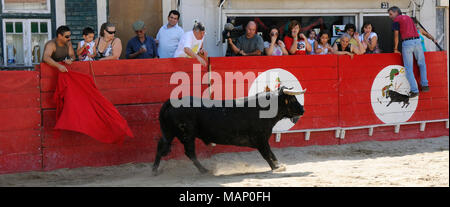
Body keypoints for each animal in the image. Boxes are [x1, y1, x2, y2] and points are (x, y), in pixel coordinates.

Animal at [152, 86, 306, 175]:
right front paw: (276, 168)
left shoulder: (263, 139)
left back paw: (154, 170)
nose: (303, 110)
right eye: (292, 99)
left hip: (169, 132)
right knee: (190, 152)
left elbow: (271, 153)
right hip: (187, 135)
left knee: (161, 146)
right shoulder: (260, 139)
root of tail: (171, 102)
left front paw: (279, 165)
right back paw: (204, 170)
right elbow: (267, 154)